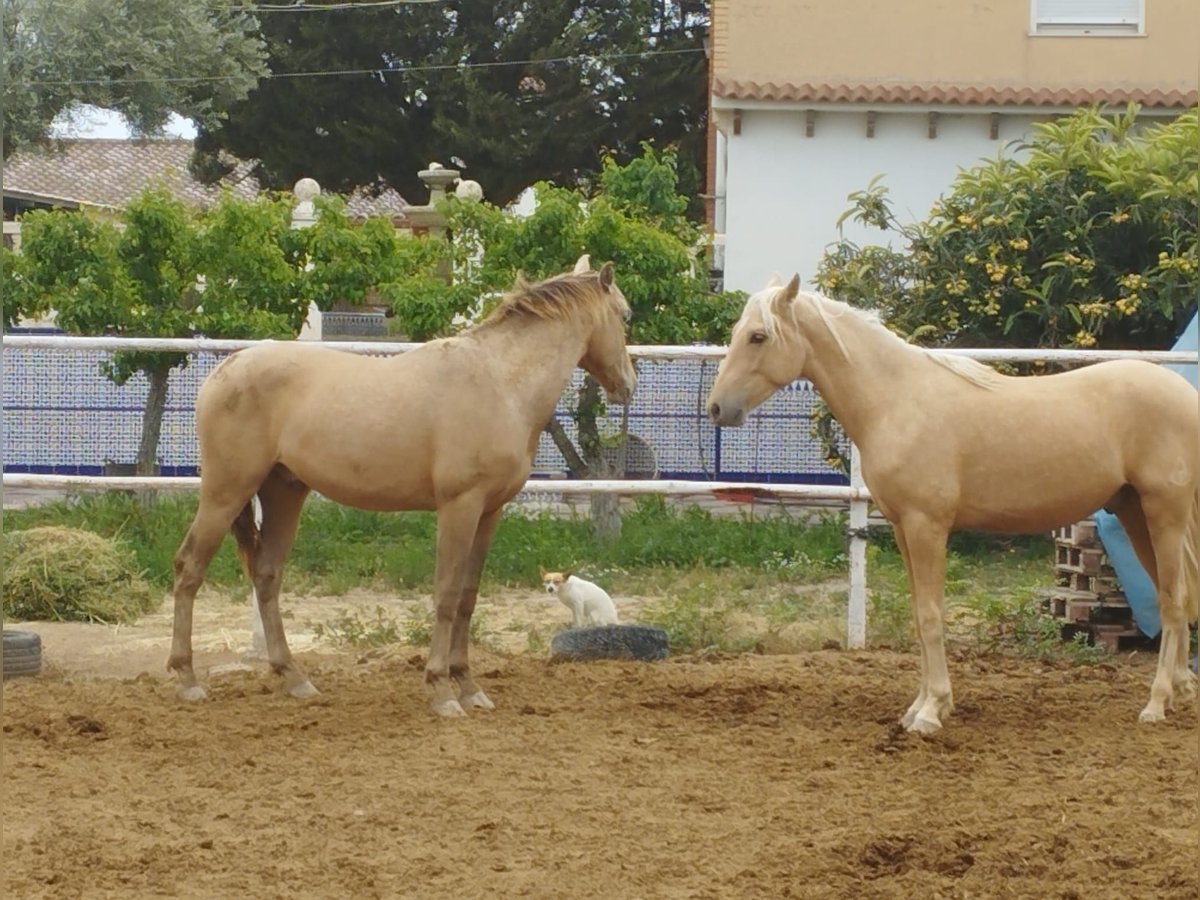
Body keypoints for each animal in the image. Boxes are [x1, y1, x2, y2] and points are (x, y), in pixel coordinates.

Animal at [171, 255, 638, 720]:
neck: (500, 382)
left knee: (266, 576)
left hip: (283, 492)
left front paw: (469, 686)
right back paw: (187, 679)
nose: (627, 385)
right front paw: (442, 689)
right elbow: (446, 594)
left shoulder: (490, 512)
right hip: (225, 492)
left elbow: (468, 596)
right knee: (189, 568)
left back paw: (295, 678)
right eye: (625, 314)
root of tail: (221, 372)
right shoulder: (459, 506)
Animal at [705, 274, 1195, 734]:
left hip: (1164, 514)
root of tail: (1186, 394)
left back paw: (1156, 704)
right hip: (1134, 513)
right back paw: (1180, 692)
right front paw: (920, 706)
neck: (897, 401)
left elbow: (930, 615)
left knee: (1173, 600)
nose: (716, 409)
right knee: (1176, 595)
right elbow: (919, 616)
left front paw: (931, 712)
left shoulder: (927, 526)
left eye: (758, 336)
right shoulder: (903, 528)